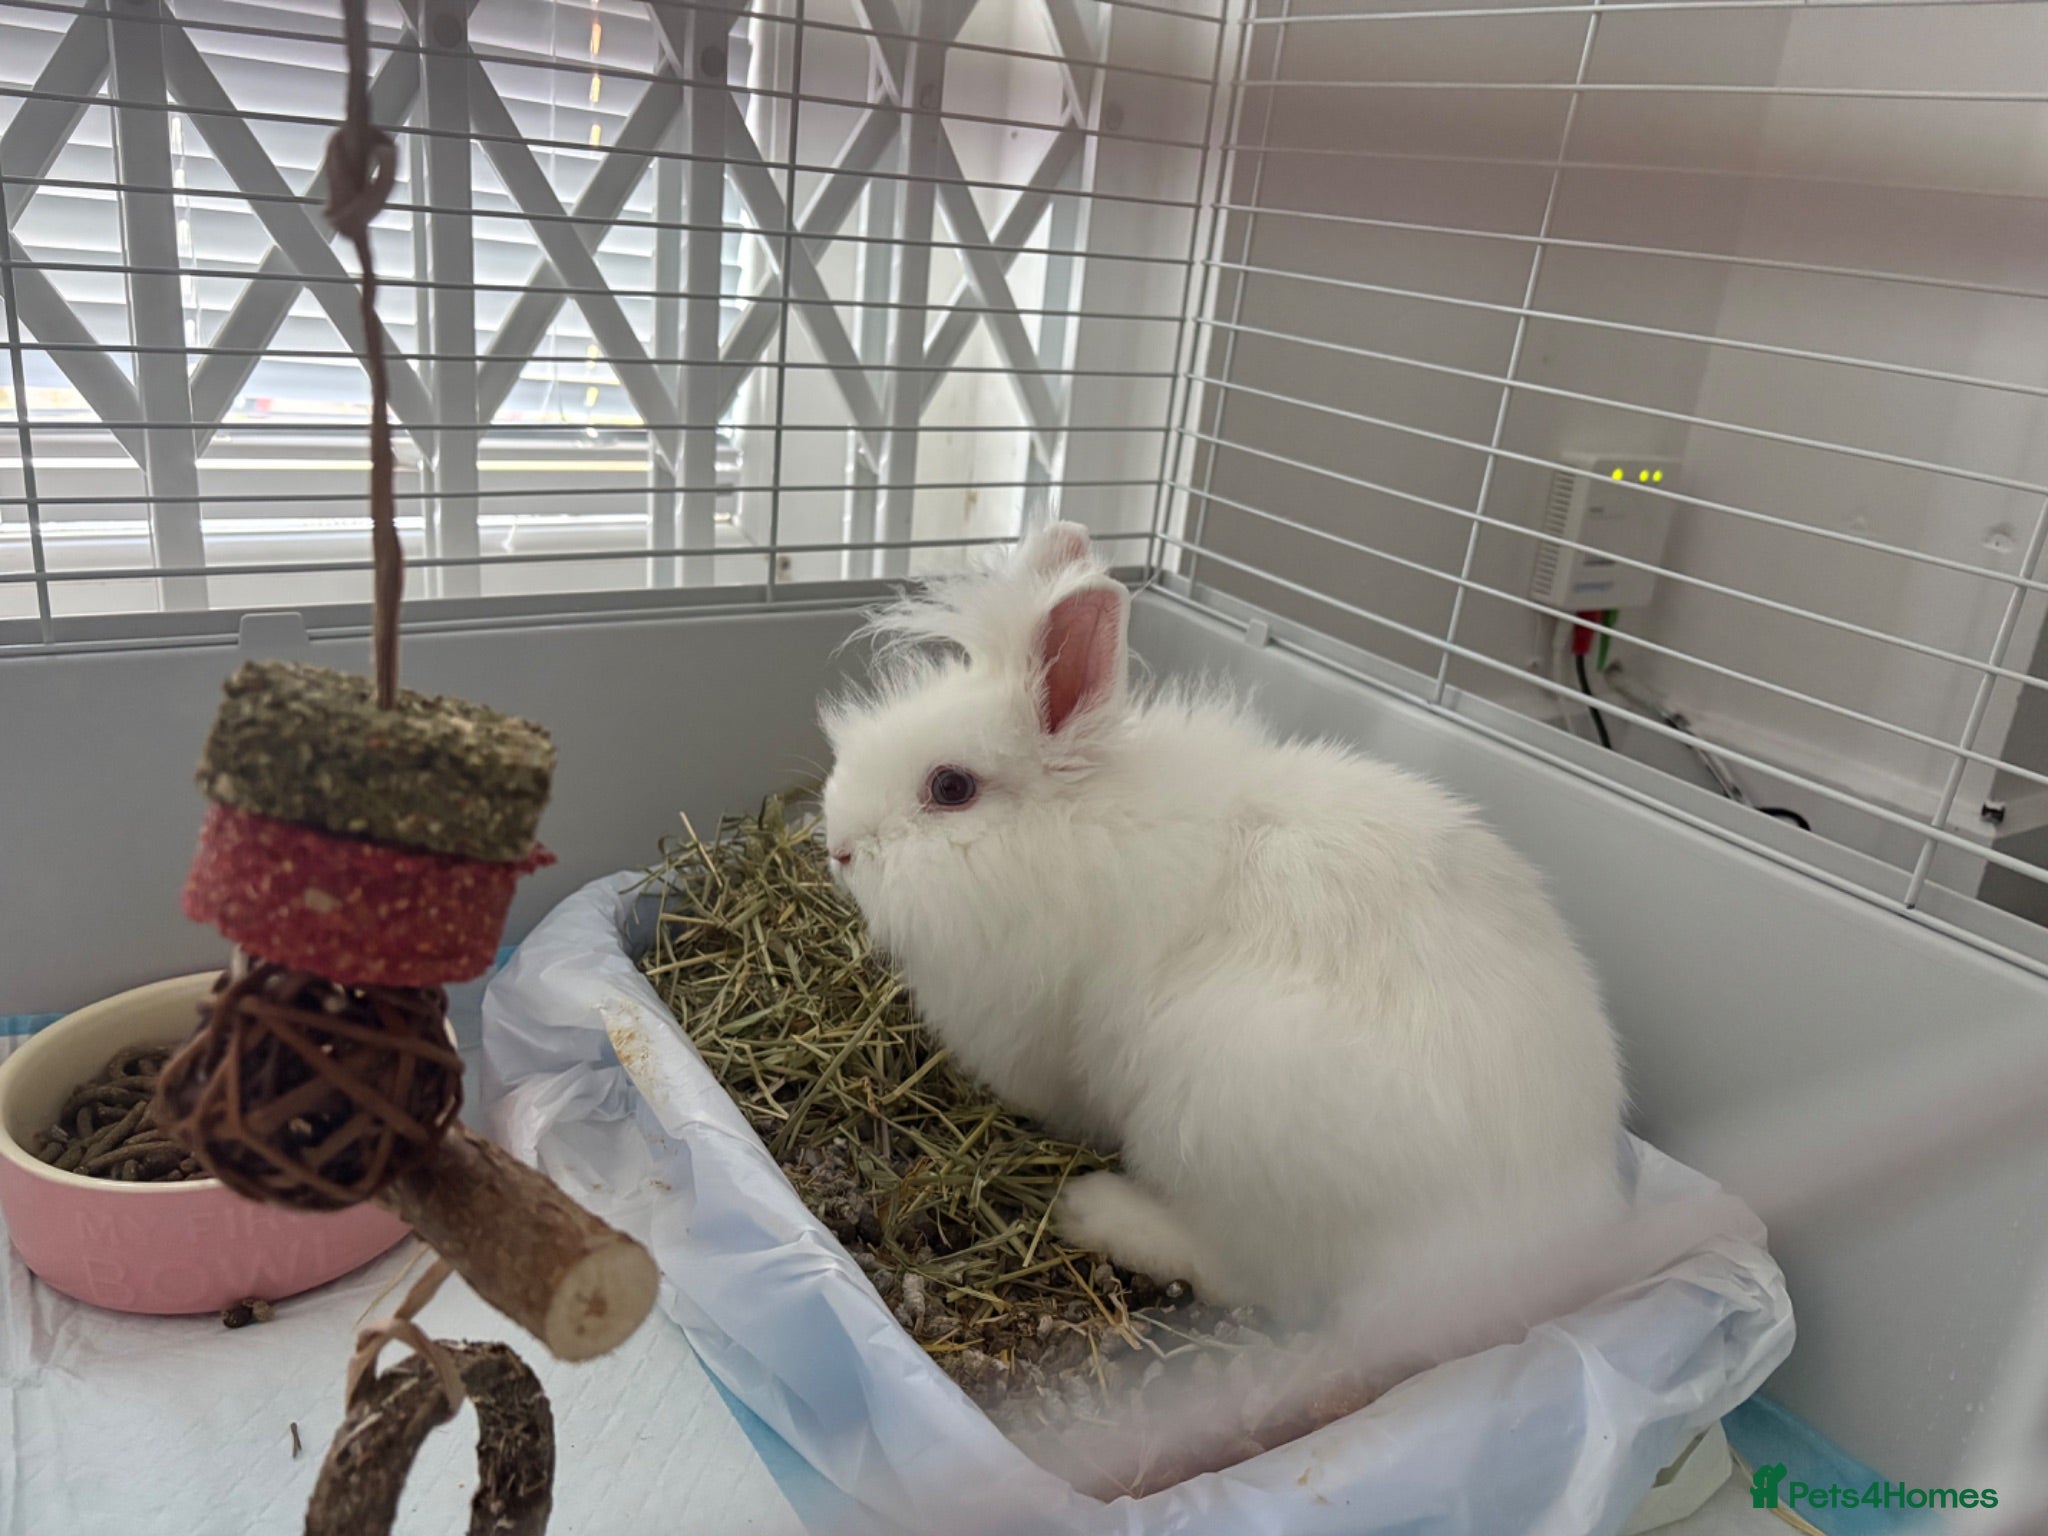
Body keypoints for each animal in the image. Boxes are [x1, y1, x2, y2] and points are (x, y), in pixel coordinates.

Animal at [819, 521, 1626, 1325]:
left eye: (951, 787)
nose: (839, 847)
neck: (1073, 828)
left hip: (1216, 1114)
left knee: (1248, 1274)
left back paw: (1094, 1209)